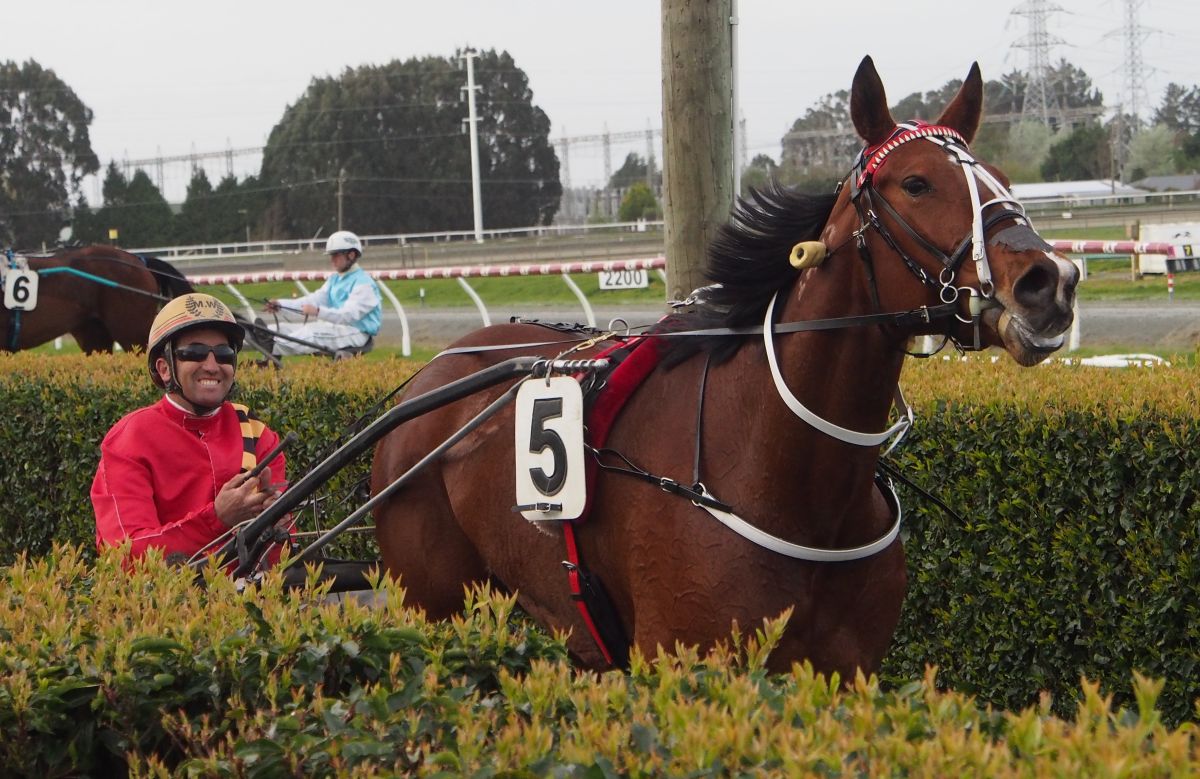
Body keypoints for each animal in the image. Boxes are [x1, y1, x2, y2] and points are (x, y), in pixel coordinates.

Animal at [370, 56, 1079, 676]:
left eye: (1002, 178)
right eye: (916, 182)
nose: (1051, 282)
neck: (786, 472)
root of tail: (431, 375)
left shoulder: (845, 669)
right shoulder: (684, 656)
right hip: (431, 604)